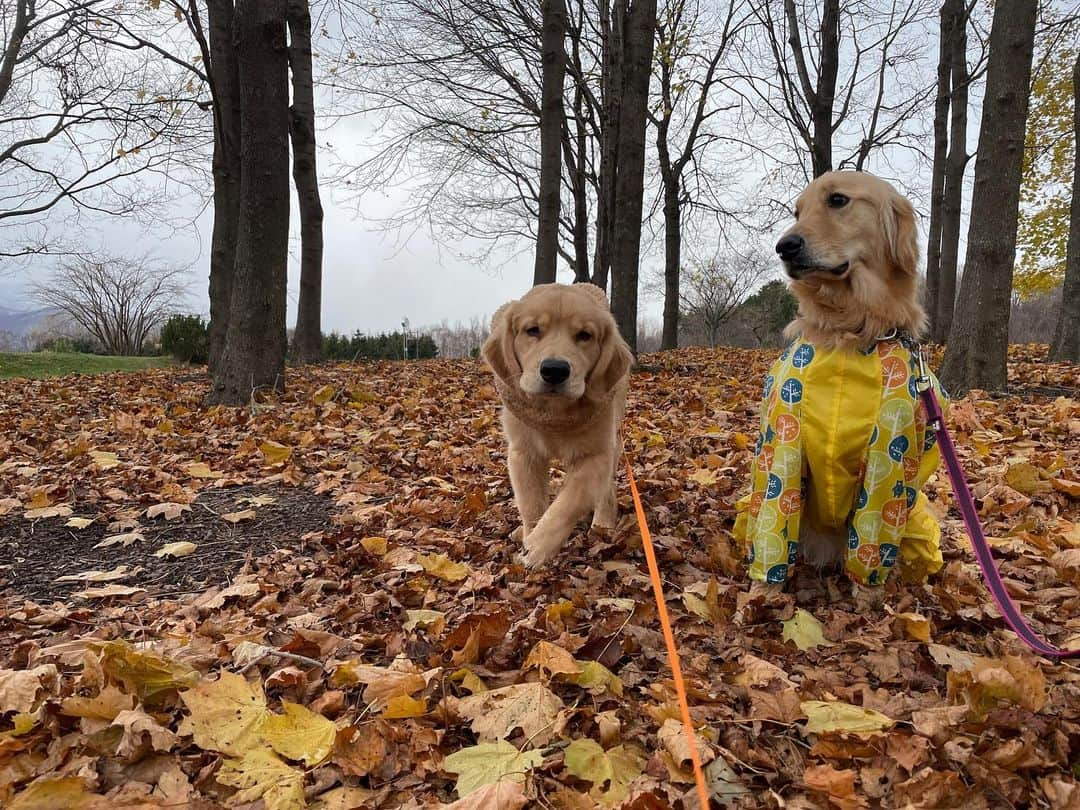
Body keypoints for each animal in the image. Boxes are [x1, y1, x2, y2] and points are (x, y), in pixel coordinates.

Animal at [481, 285, 630, 570]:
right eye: (532, 330)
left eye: (585, 335)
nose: (555, 370)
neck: (554, 414)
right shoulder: (523, 453)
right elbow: (531, 504)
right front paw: (529, 534)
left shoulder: (596, 455)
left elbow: (567, 503)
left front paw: (537, 547)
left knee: (605, 490)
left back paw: (603, 523)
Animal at [743, 171, 946, 600]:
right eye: (797, 211)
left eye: (838, 200)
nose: (785, 247)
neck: (850, 331)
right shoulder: (784, 444)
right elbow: (773, 527)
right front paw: (760, 594)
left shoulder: (890, 456)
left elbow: (871, 540)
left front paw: (867, 598)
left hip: (918, 522)